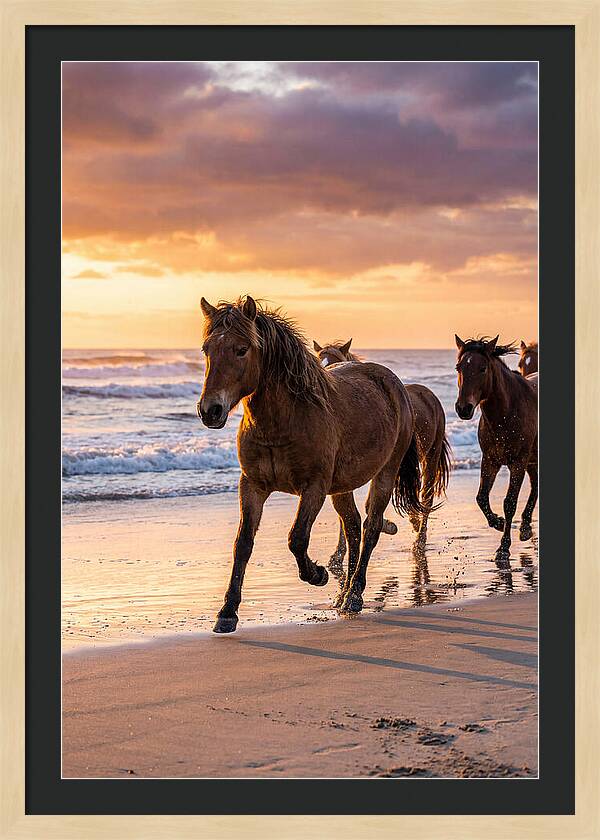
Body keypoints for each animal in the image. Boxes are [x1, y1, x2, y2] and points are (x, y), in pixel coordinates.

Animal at [197, 297, 424, 632]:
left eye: (241, 349)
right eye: (206, 349)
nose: (210, 410)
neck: (284, 420)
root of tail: (395, 385)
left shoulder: (313, 488)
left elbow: (297, 538)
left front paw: (317, 574)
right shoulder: (252, 486)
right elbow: (243, 544)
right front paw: (227, 612)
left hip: (385, 473)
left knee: (370, 528)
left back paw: (354, 595)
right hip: (341, 488)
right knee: (353, 527)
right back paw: (343, 595)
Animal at [454, 335, 538, 558]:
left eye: (483, 368)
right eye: (458, 367)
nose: (463, 408)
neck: (507, 413)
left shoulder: (518, 462)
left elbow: (509, 502)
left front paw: (503, 547)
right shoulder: (490, 460)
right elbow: (481, 497)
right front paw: (498, 522)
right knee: (535, 485)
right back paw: (525, 527)